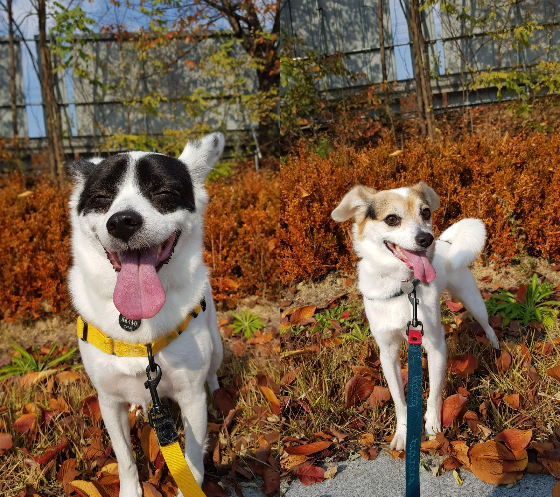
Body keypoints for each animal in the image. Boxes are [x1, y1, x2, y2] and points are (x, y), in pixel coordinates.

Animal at [65, 133, 223, 496]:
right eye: (100, 197)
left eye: (164, 192)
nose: (122, 221)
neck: (137, 326)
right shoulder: (108, 401)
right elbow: (124, 458)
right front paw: (130, 490)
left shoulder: (191, 399)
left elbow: (192, 460)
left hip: (217, 347)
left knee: (212, 373)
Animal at [332, 181, 498, 450]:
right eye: (391, 219)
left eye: (426, 212)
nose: (426, 239)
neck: (403, 284)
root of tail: (445, 242)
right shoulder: (387, 352)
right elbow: (400, 401)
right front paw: (403, 431)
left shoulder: (435, 344)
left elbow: (434, 394)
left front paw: (432, 426)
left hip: (471, 299)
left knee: (487, 324)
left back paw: (495, 346)